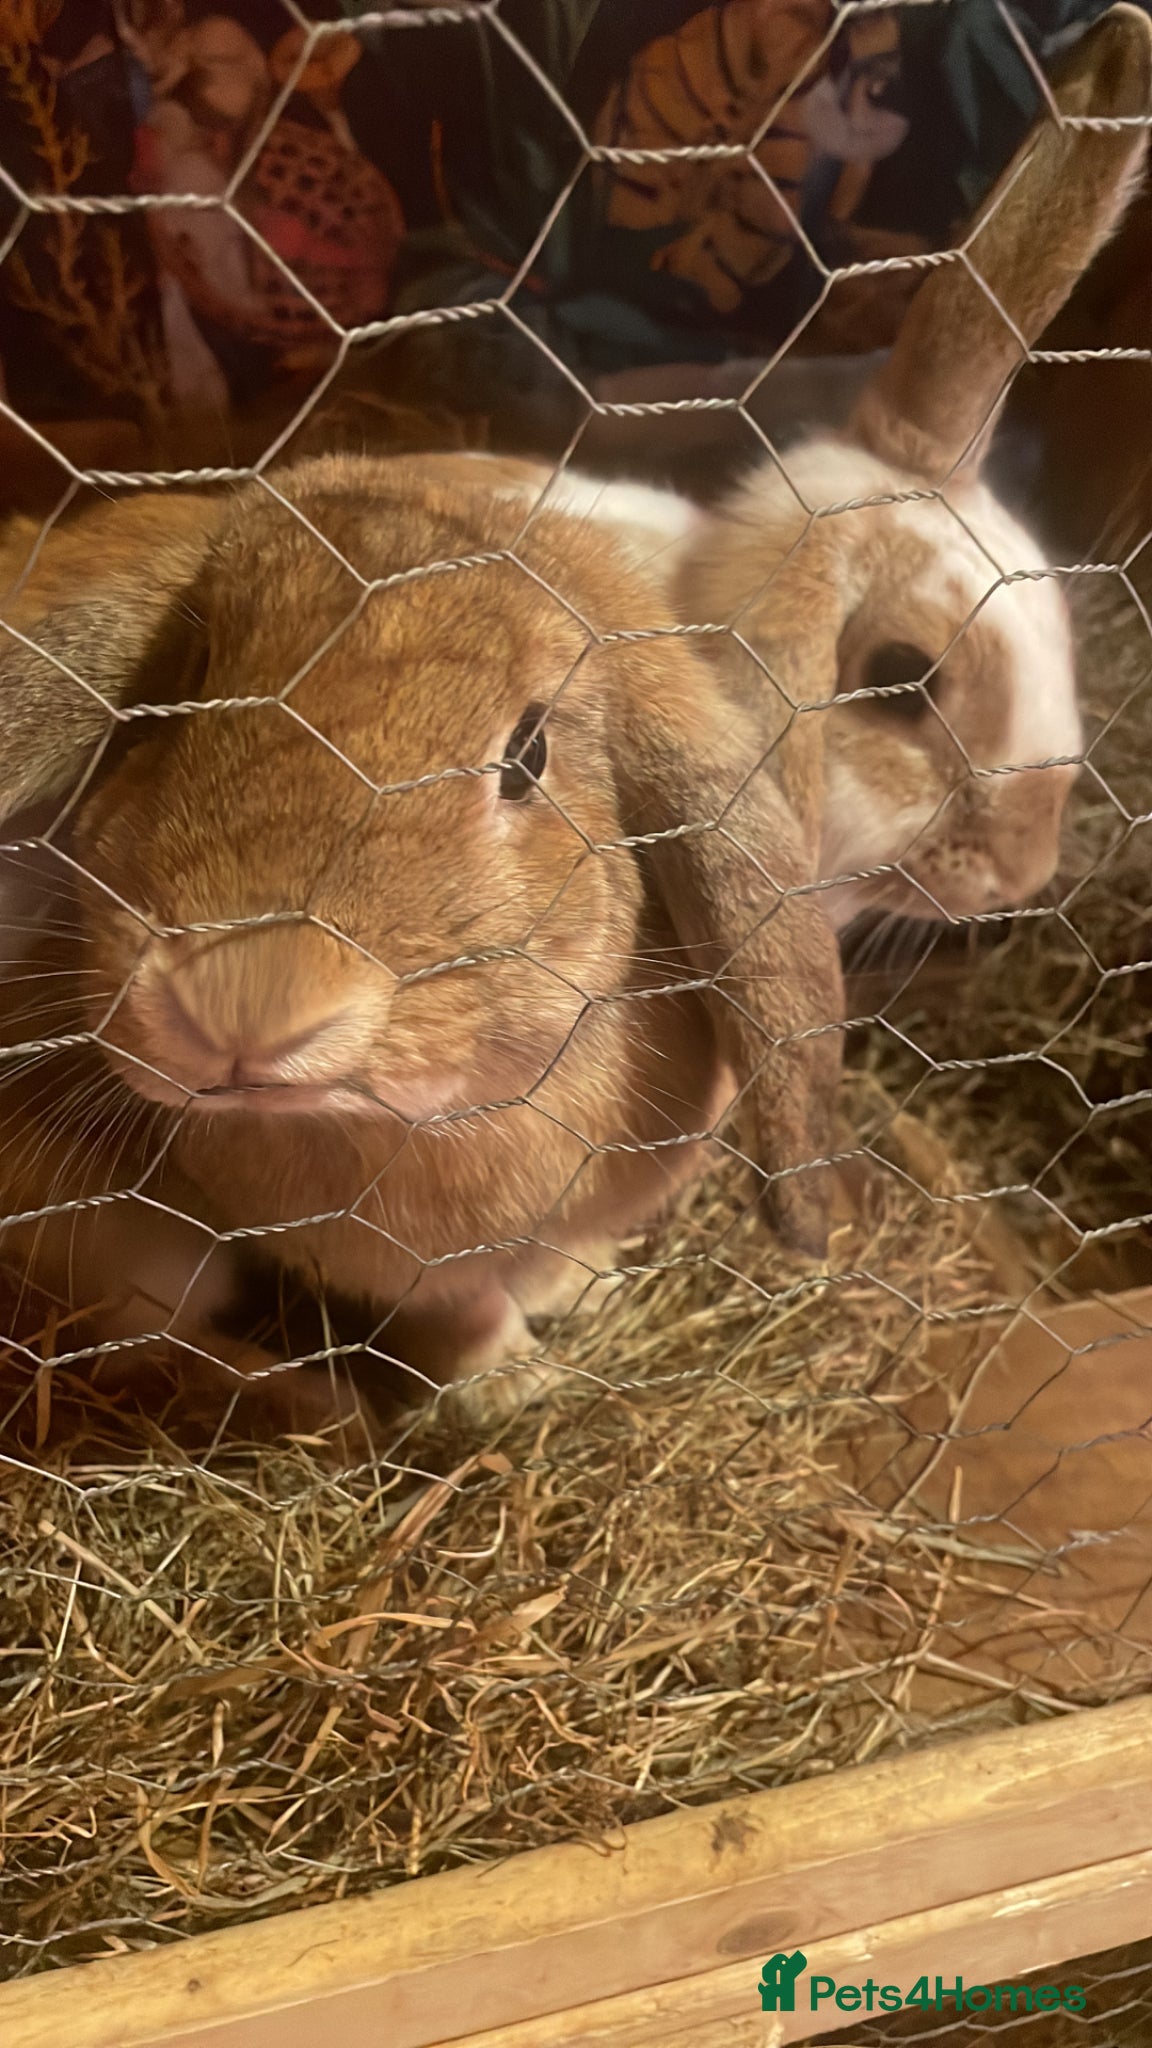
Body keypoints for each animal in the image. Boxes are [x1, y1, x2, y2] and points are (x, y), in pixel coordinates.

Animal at [0, 451, 844, 1428]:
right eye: (189, 682)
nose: (240, 1002)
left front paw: (580, 1289)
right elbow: (462, 1315)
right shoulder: (417, 1274)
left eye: (527, 757)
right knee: (141, 1344)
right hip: (127, 1244)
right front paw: (512, 1386)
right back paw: (320, 1406)